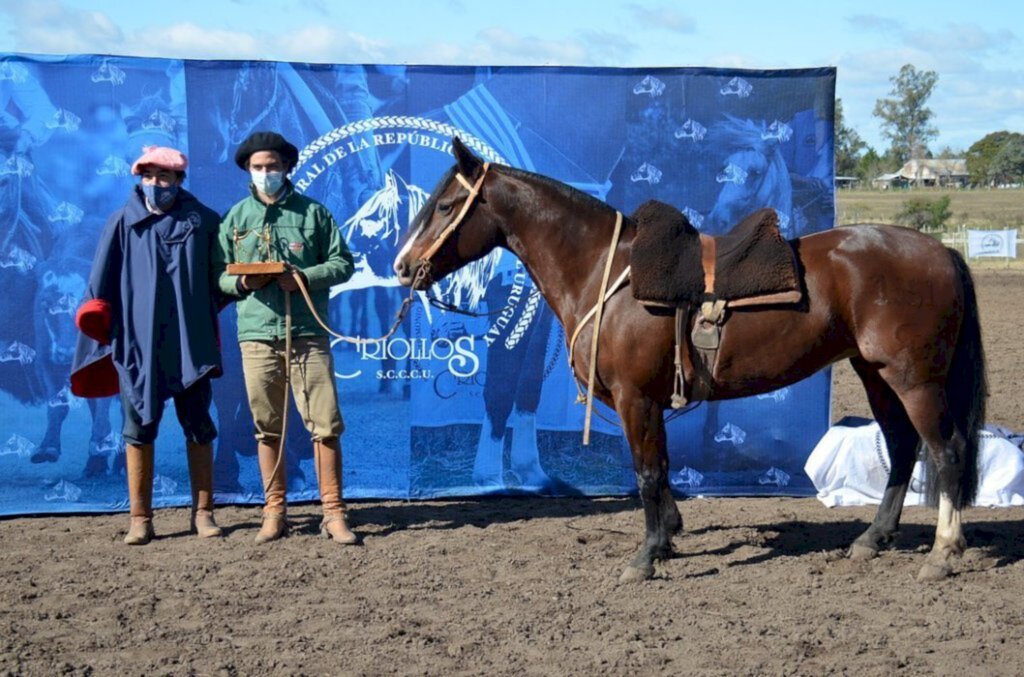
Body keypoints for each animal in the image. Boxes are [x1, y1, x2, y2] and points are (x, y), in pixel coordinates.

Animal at [391, 137, 983, 581]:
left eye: (446, 206)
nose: (402, 266)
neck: (607, 273)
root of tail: (941, 251)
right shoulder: (651, 401)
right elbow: (663, 468)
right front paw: (669, 536)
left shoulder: (635, 397)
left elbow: (648, 471)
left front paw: (646, 557)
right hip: (876, 374)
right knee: (903, 448)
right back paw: (873, 538)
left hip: (914, 379)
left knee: (947, 451)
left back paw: (943, 552)